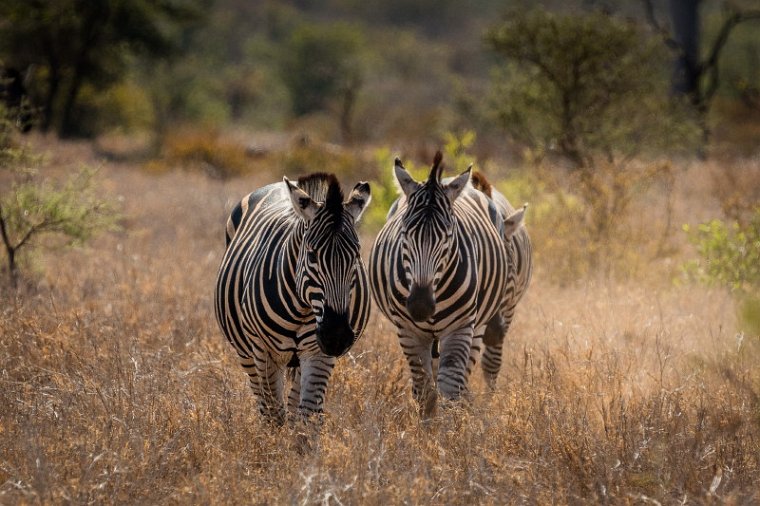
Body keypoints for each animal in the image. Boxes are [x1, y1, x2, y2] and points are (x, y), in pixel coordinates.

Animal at [214, 174, 372, 422]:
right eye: (312, 254)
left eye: (356, 256)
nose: (337, 336)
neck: (302, 308)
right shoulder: (266, 352)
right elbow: (274, 414)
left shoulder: (318, 353)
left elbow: (308, 416)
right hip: (246, 352)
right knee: (262, 400)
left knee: (295, 404)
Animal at [370, 152, 508, 418]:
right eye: (404, 234)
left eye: (448, 236)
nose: (420, 306)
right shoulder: (408, 331)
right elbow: (425, 393)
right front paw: (427, 427)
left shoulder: (461, 328)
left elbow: (450, 390)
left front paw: (449, 428)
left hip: (477, 325)